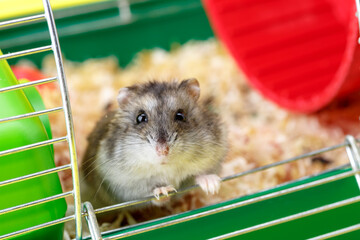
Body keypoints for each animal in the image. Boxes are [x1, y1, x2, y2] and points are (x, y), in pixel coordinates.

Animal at [81, 79, 228, 208]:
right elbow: (149, 192)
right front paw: (164, 191)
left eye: (180, 115)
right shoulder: (122, 184)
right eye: (140, 118)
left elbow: (199, 173)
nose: (162, 151)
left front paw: (212, 186)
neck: (167, 167)